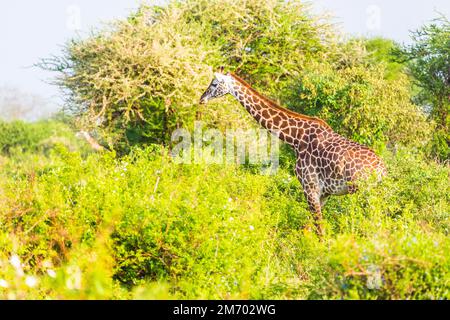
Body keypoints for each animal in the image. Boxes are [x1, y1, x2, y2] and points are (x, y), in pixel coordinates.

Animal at [200, 67, 386, 236]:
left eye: (214, 83)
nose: (202, 98)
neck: (295, 139)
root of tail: (382, 170)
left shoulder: (310, 187)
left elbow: (319, 230)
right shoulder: (324, 193)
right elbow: (309, 228)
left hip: (364, 191)